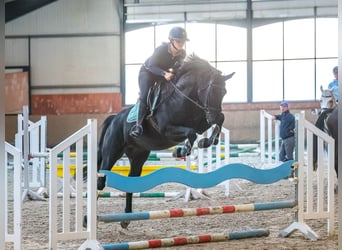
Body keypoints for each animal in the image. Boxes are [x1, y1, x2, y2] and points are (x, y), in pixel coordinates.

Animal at [96, 54, 235, 229]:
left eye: (224, 92)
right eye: (211, 91)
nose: (212, 115)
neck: (183, 97)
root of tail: (114, 119)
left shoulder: (201, 123)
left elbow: (217, 121)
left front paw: (206, 142)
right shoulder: (167, 129)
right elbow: (190, 134)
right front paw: (182, 150)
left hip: (138, 155)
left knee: (130, 182)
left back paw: (126, 219)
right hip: (111, 153)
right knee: (100, 180)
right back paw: (88, 218)